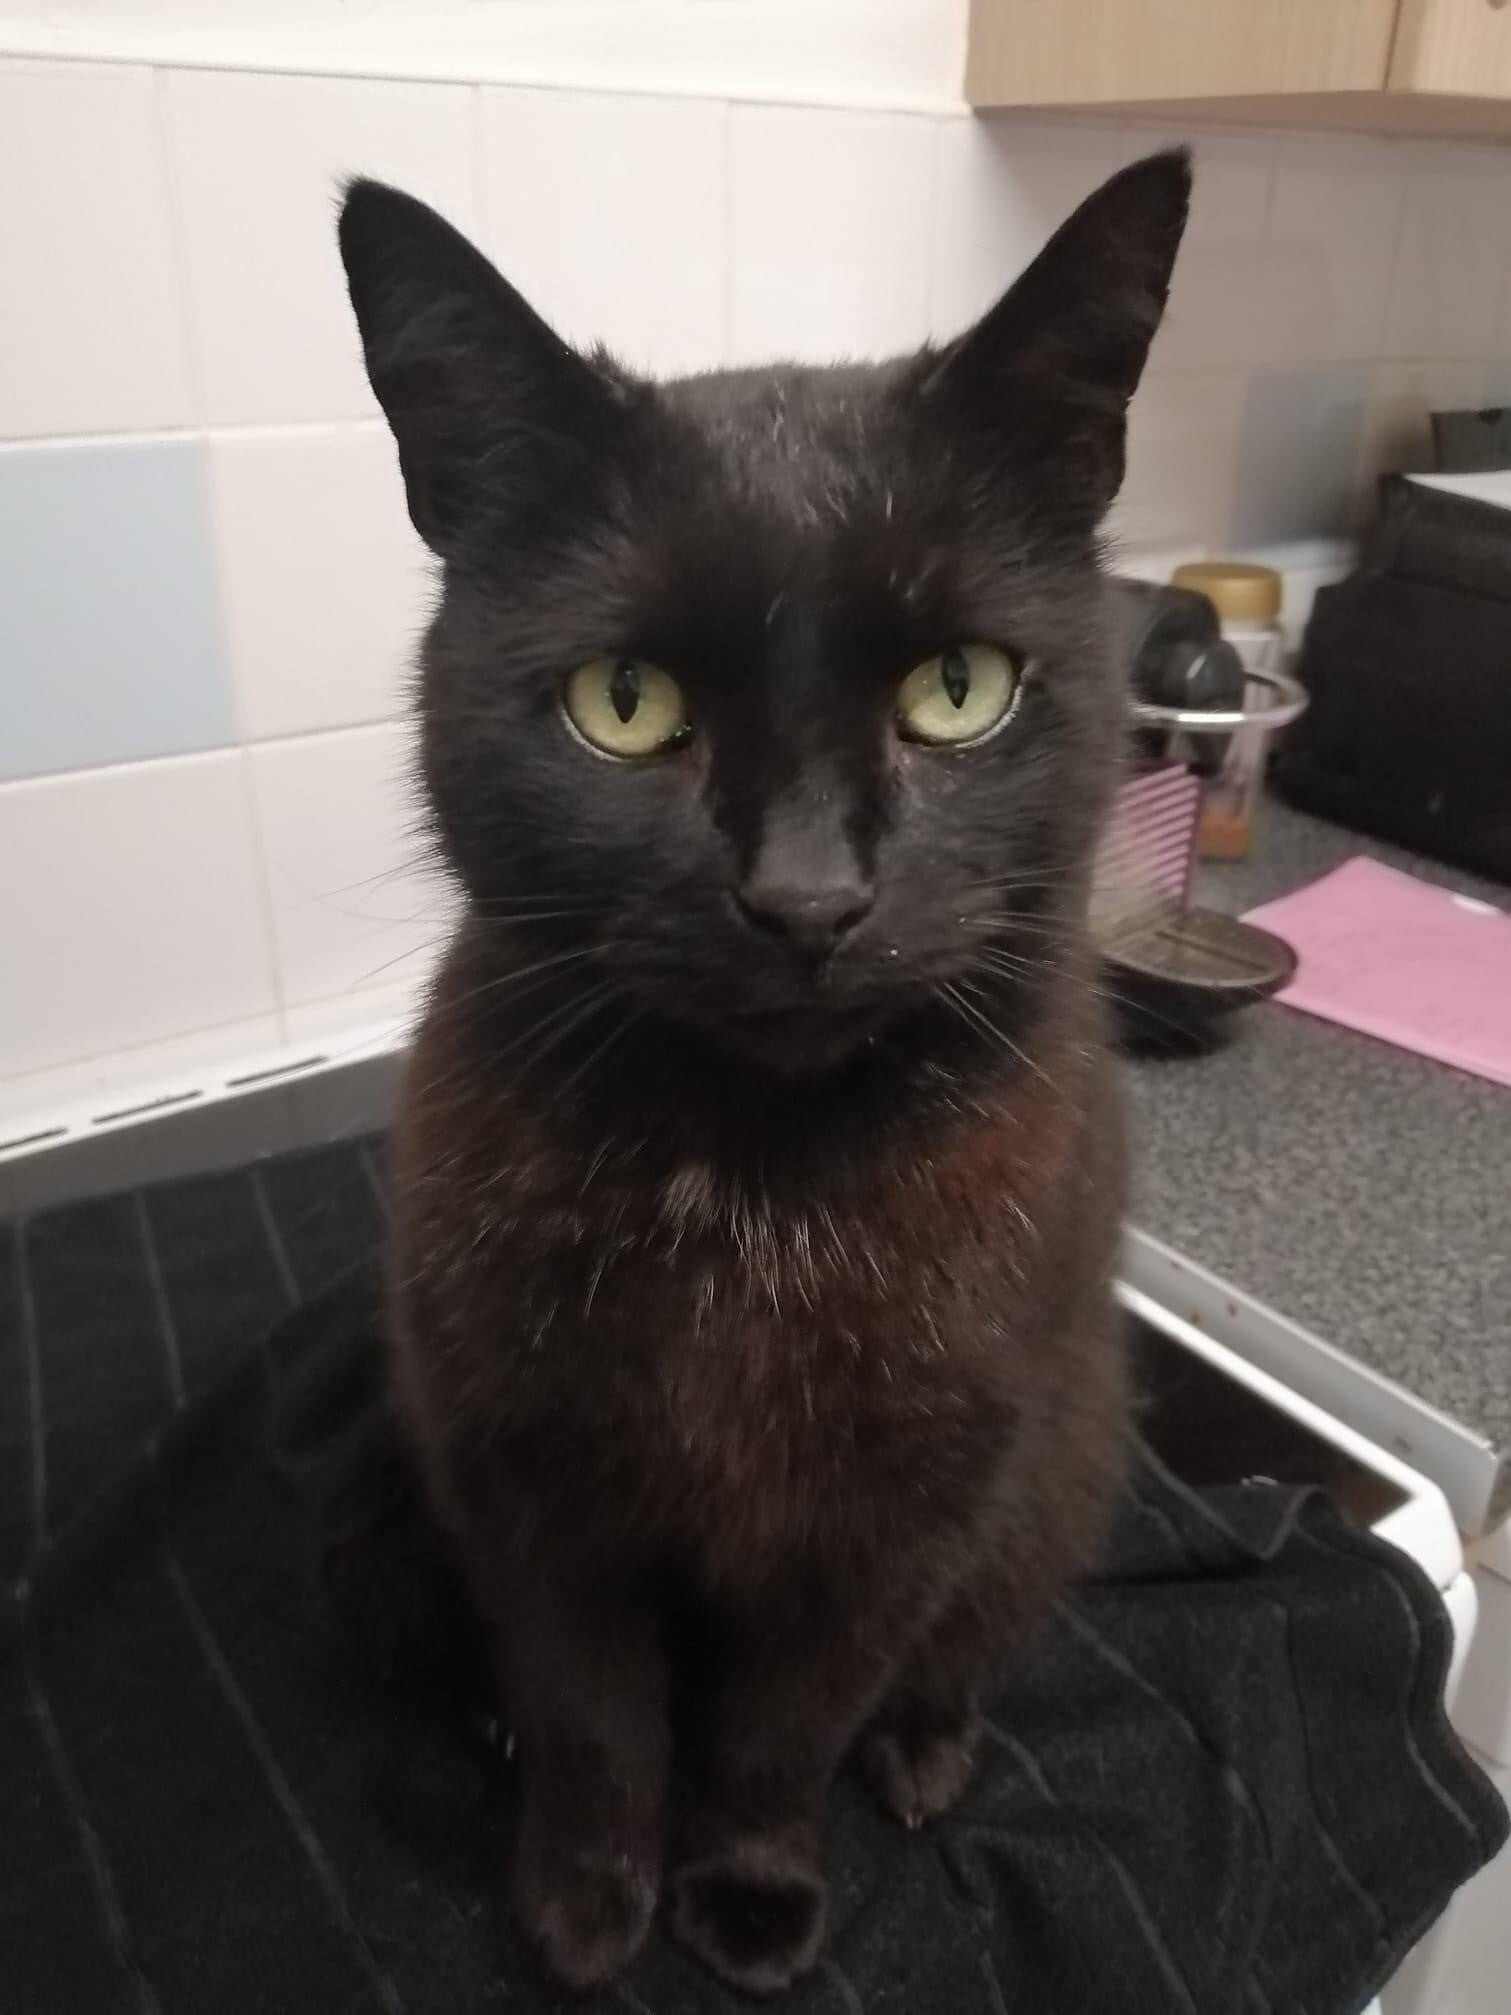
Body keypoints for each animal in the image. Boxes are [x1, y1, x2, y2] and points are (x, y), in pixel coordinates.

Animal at [336, 147, 1189, 1996]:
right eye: (624, 701)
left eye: (957, 688)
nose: (807, 897)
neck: (752, 1186)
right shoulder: (525, 1475)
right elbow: (592, 1713)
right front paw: (585, 1902)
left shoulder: (899, 1513)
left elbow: (785, 1724)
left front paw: (744, 1894)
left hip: (1063, 1463)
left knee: (963, 1651)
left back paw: (929, 1754)